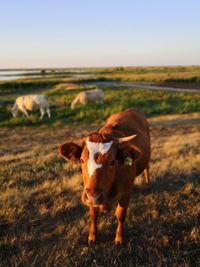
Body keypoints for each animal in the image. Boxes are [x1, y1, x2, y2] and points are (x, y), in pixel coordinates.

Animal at [58, 109, 151, 245]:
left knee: (147, 168)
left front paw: (119, 237)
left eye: (112, 161)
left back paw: (148, 186)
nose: (94, 196)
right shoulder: (90, 193)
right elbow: (93, 214)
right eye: (82, 160)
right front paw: (92, 236)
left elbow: (120, 214)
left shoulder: (127, 192)